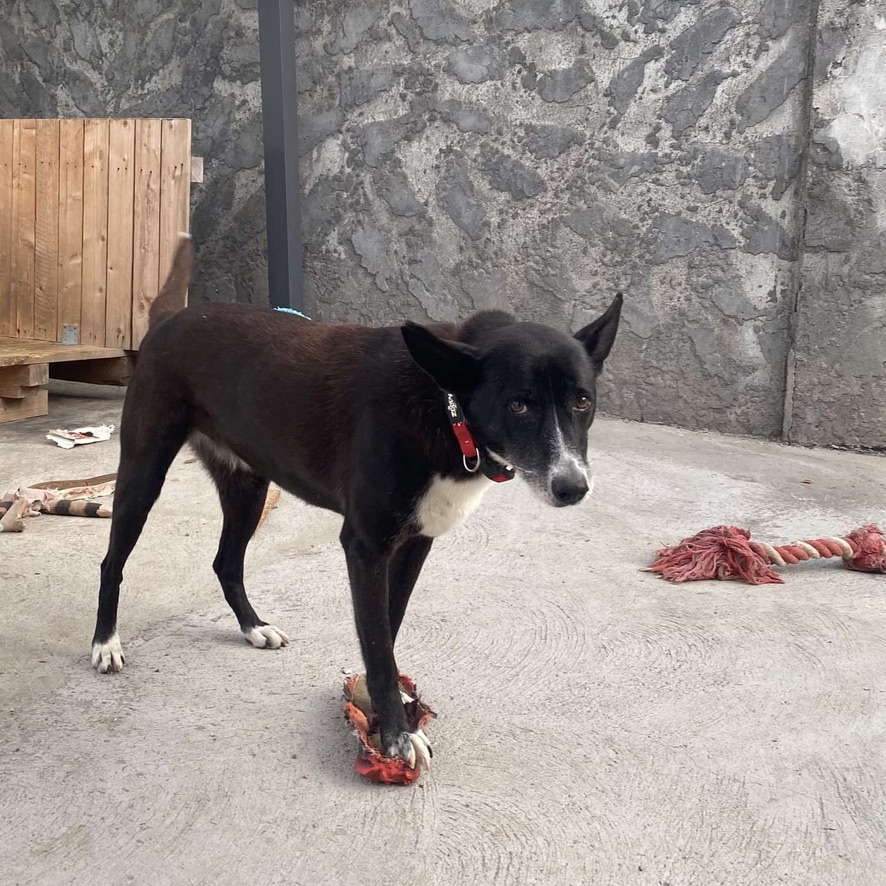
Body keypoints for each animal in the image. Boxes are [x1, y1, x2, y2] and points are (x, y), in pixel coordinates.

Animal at [88, 239, 616, 772]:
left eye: (583, 401)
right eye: (519, 404)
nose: (572, 487)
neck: (444, 403)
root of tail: (170, 319)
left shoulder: (414, 544)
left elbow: (388, 628)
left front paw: (385, 709)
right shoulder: (365, 546)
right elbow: (379, 644)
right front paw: (398, 737)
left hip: (248, 487)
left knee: (226, 562)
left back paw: (253, 627)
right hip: (143, 474)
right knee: (113, 561)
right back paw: (105, 644)